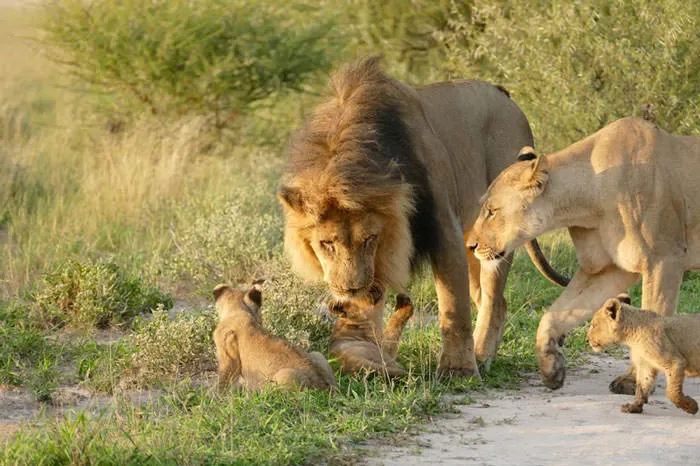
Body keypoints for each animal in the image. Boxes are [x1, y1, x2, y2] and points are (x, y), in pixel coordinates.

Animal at [277, 57, 567, 377]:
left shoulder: (444, 227)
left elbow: (453, 306)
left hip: (498, 231)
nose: (350, 287)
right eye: (326, 243)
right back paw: (485, 358)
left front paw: (457, 370)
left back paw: (478, 358)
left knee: (492, 298)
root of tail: (504, 94)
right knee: (498, 301)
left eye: (370, 239)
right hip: (475, 239)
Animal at [467, 116, 700, 391]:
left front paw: (632, 382)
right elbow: (554, 314)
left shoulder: (664, 259)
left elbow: (649, 326)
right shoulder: (608, 269)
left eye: (492, 211)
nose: (470, 245)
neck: (587, 201)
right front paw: (552, 367)